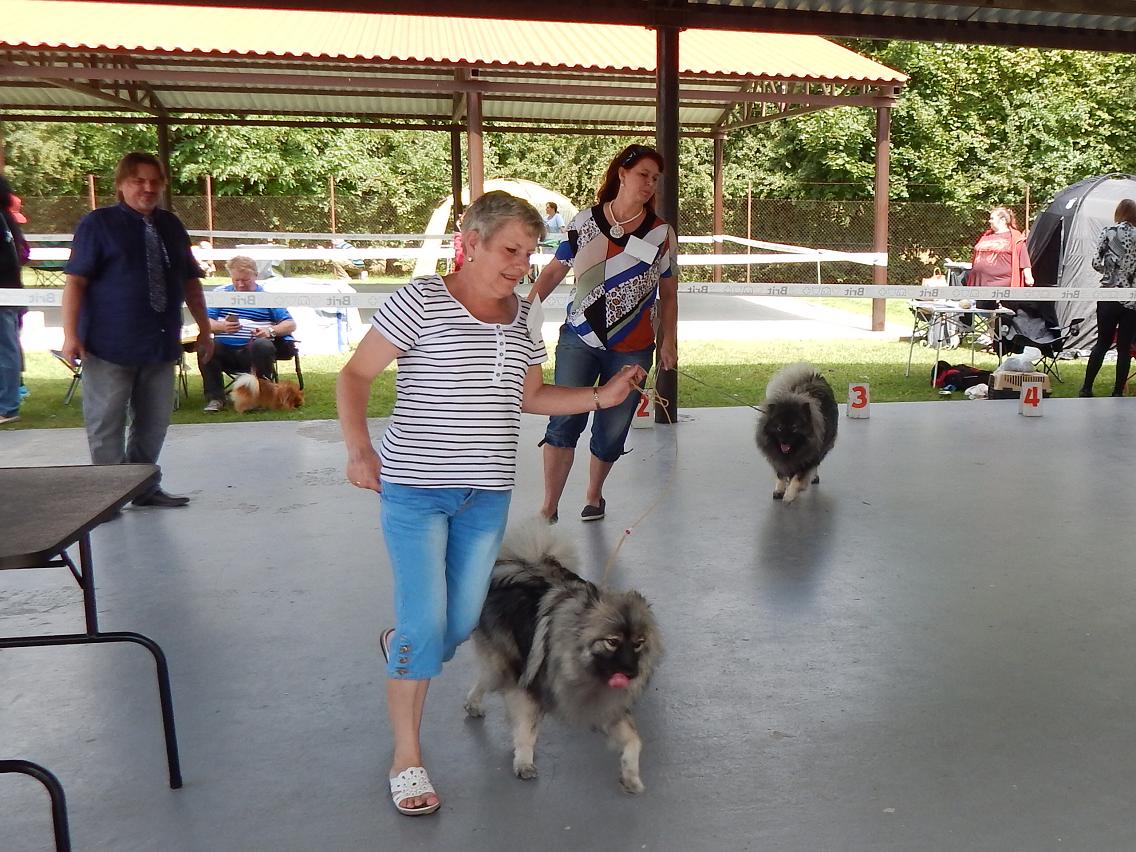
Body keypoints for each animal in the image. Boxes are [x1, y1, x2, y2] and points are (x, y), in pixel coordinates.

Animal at [463, 524, 663, 799]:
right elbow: (527, 728)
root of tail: (509, 566)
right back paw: (473, 704)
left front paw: (631, 776)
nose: (631, 672)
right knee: (488, 678)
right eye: (612, 642)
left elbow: (634, 740)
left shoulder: (608, 706)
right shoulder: (528, 688)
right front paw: (524, 761)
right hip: (504, 662)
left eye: (638, 643)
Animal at [758, 363, 840, 504]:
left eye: (794, 428)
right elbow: (780, 474)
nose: (784, 441)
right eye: (779, 428)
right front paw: (779, 490)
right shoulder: (778, 458)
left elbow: (798, 477)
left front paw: (790, 494)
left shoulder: (808, 457)